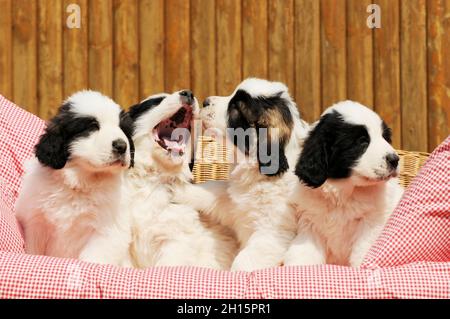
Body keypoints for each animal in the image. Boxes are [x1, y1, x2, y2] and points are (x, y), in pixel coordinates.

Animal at [16, 89, 135, 264]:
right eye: (92, 126)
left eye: (122, 129)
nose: (121, 146)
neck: (80, 183)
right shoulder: (36, 224)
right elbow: (34, 252)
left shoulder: (105, 231)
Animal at [178, 79, 312, 272]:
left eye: (235, 108)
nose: (205, 101)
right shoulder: (234, 204)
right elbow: (211, 191)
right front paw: (175, 188)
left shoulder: (271, 232)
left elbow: (243, 262)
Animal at [284, 101, 404, 268]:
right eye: (362, 141)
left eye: (385, 137)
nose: (394, 160)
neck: (344, 193)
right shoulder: (312, 224)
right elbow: (304, 253)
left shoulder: (371, 225)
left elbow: (362, 254)